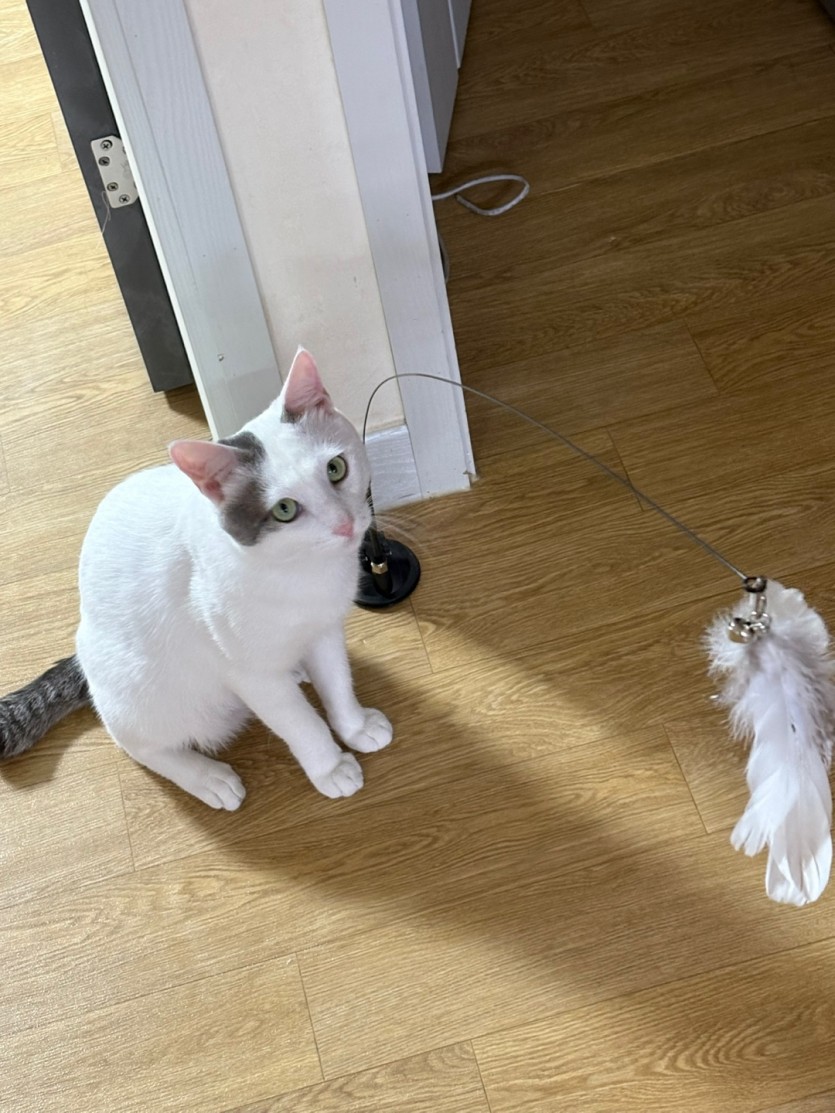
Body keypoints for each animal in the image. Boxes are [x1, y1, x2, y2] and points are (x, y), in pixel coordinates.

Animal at [0, 349, 393, 808]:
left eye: (335, 468)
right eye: (284, 510)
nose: (345, 525)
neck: (302, 572)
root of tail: (83, 655)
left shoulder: (326, 630)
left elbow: (338, 684)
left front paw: (355, 726)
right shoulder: (249, 675)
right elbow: (299, 722)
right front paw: (330, 767)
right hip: (143, 694)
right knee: (138, 744)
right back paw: (206, 777)